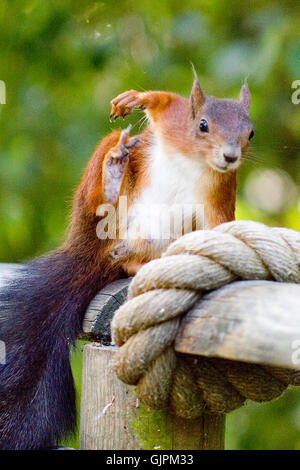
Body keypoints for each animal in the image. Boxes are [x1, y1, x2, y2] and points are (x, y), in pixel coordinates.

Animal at [0, 70, 253, 448]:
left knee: (137, 255)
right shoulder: (173, 124)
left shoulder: (217, 196)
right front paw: (134, 99)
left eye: (250, 132)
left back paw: (137, 256)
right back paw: (111, 174)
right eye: (203, 125)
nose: (230, 156)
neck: (195, 160)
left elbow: (221, 227)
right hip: (98, 203)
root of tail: (95, 249)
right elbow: (166, 103)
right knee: (97, 202)